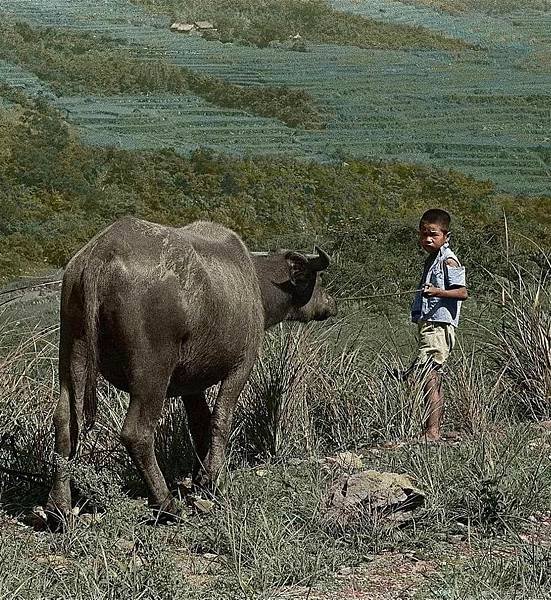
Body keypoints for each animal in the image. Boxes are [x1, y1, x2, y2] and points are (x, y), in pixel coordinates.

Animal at [47, 218, 338, 516]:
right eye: (317, 281)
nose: (330, 303)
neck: (254, 284)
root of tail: (100, 255)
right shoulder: (241, 366)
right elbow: (221, 419)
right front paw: (215, 478)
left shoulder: (191, 386)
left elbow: (200, 424)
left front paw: (200, 476)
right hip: (151, 373)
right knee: (137, 433)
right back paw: (165, 502)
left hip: (73, 353)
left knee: (65, 422)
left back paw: (58, 505)